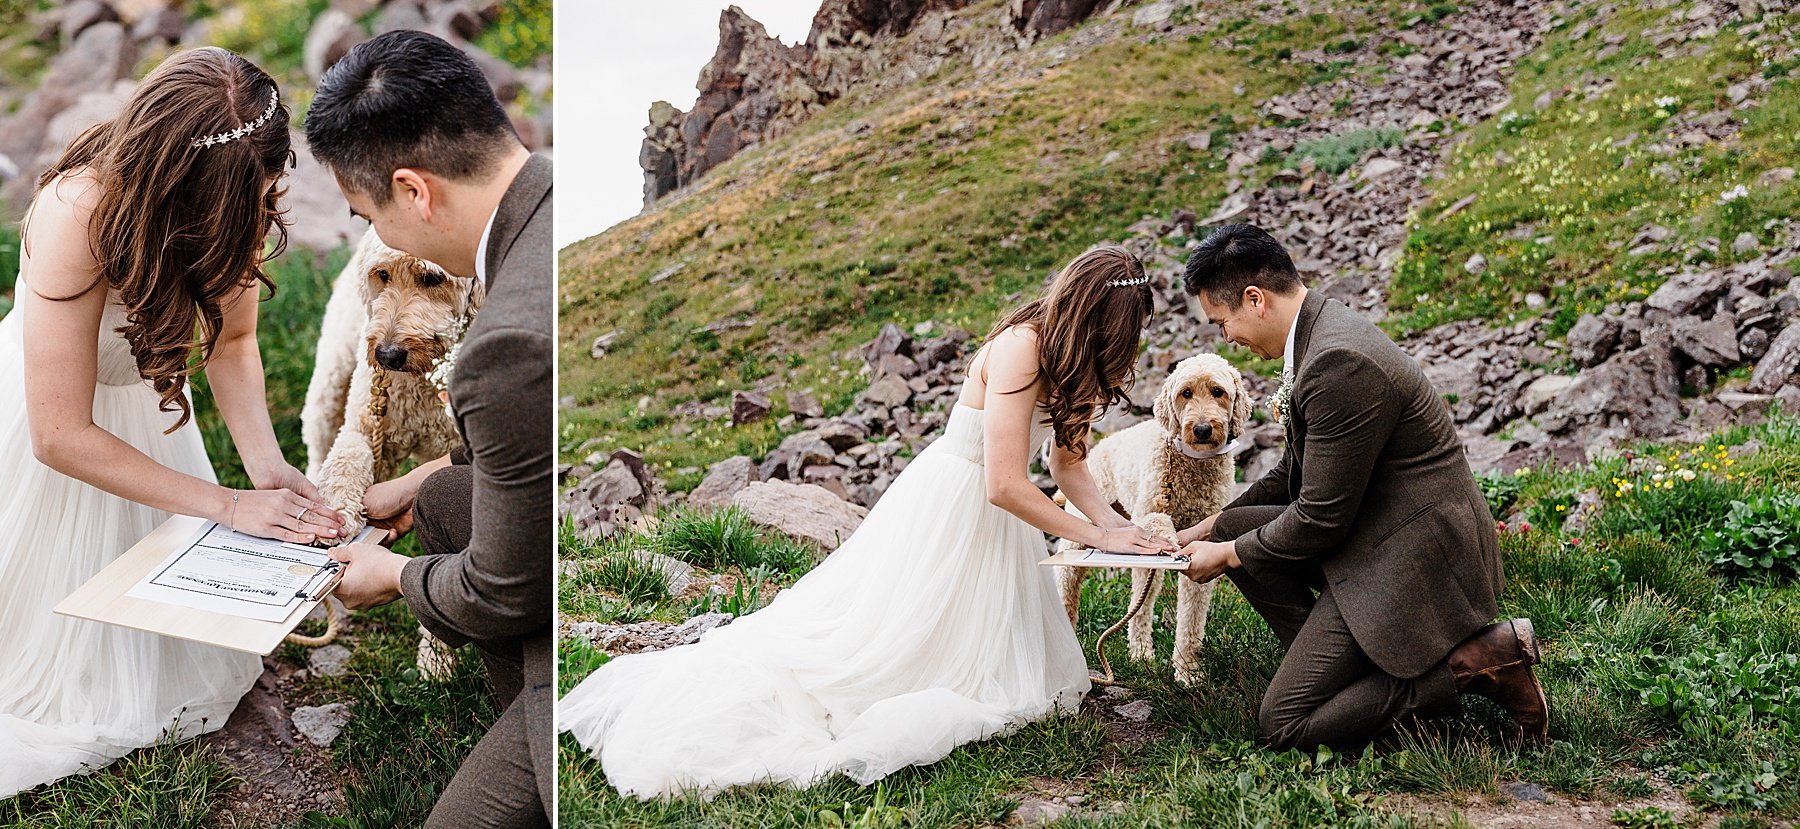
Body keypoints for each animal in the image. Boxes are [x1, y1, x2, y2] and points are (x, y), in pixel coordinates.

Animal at [1051, 352, 1252, 683]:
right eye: (1186, 393)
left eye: (1218, 392)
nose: (1201, 429)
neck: (1191, 462)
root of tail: (1100, 447)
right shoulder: (1150, 517)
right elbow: (1156, 542)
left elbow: (1192, 615)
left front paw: (1187, 670)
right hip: (1083, 531)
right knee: (1070, 580)